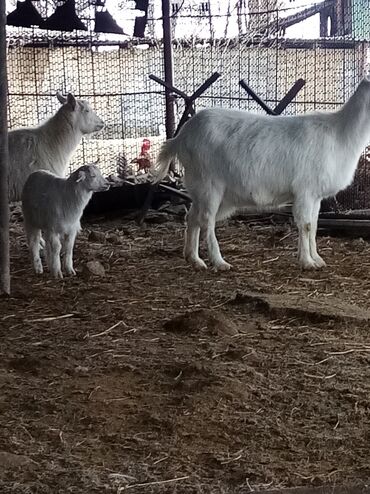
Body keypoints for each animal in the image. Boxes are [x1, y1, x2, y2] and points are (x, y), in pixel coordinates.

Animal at [155, 75, 370, 272]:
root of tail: (180, 138)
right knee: (207, 220)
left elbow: (314, 226)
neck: (341, 134)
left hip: (201, 188)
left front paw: (316, 258)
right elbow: (306, 225)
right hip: (208, 182)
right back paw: (219, 262)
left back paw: (194, 259)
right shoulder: (305, 191)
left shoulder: (316, 196)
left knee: (193, 217)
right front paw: (307, 262)